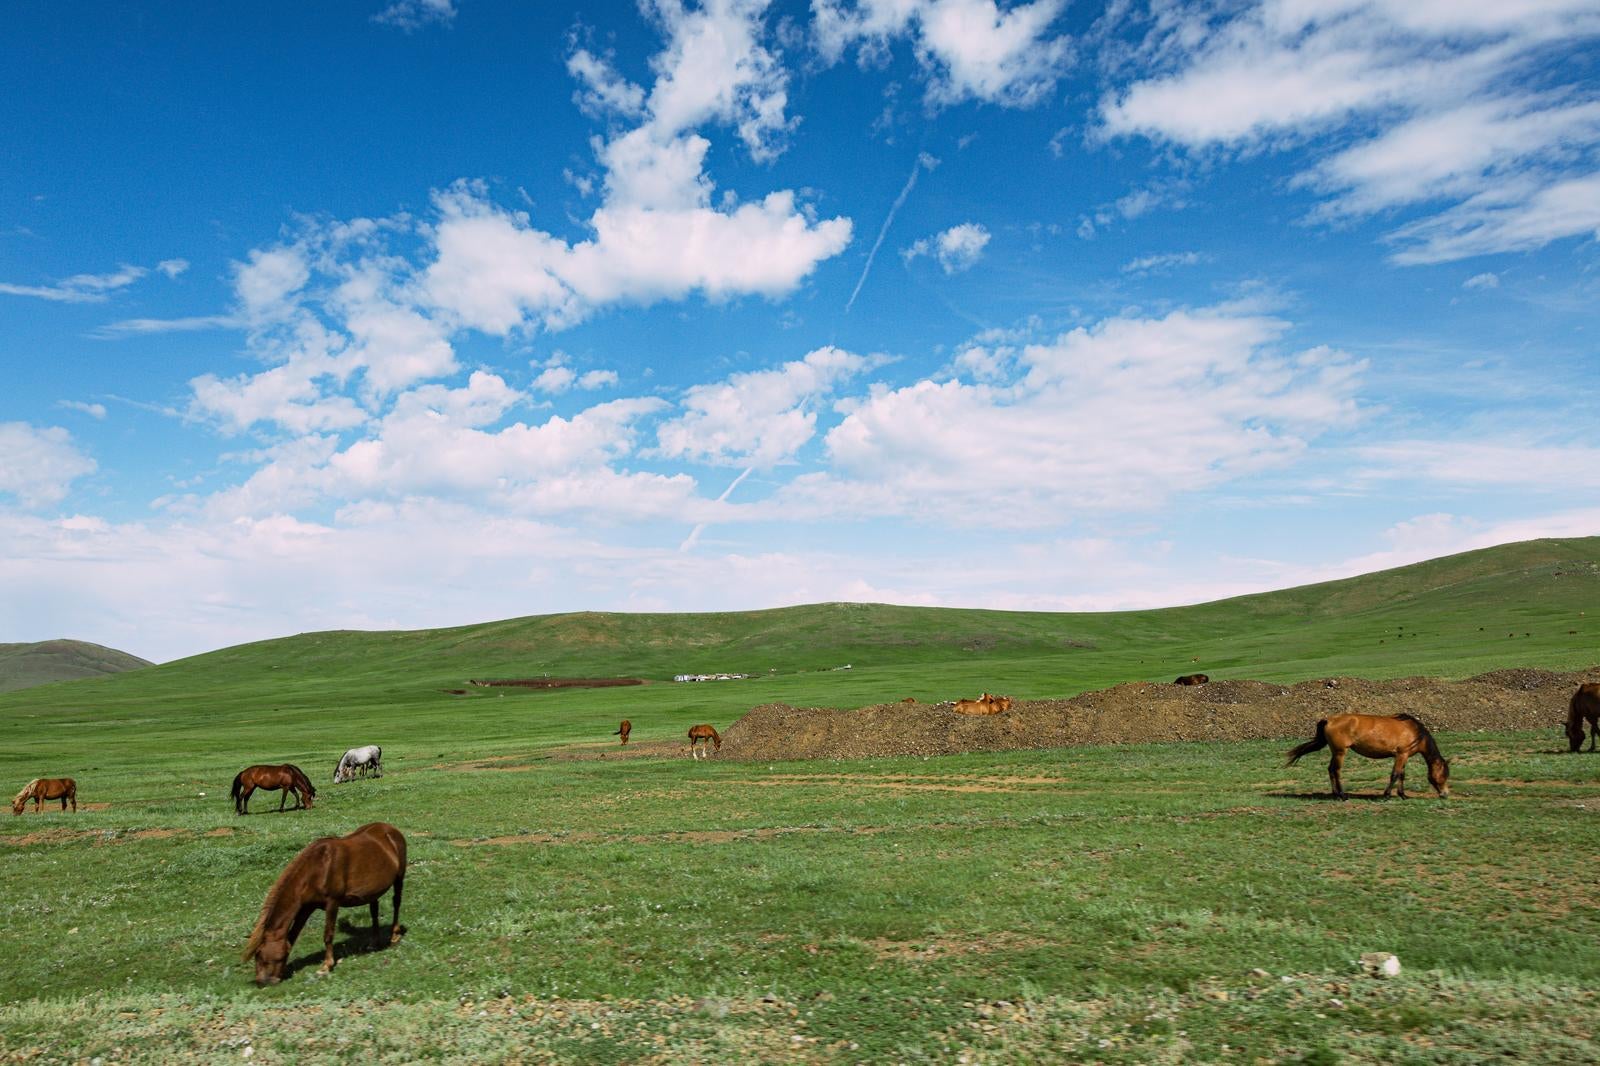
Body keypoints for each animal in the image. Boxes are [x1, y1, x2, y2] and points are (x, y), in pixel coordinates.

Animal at [243, 816, 409, 985]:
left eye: (260, 954)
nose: (262, 981)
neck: (317, 869)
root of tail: (391, 830)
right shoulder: (306, 907)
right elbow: (293, 934)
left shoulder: (332, 903)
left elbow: (328, 934)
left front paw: (326, 966)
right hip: (373, 890)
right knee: (374, 910)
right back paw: (374, 943)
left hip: (399, 877)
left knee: (396, 902)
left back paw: (395, 935)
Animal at [1286, 713, 1452, 797]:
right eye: (1444, 775)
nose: (1445, 794)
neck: (1414, 731)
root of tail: (1330, 719)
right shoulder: (1401, 755)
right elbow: (1395, 774)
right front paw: (1386, 794)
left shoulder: (1403, 756)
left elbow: (1401, 775)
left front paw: (1402, 794)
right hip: (1340, 752)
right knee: (1336, 770)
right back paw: (1342, 795)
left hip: (1335, 752)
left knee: (1330, 770)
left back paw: (1335, 793)